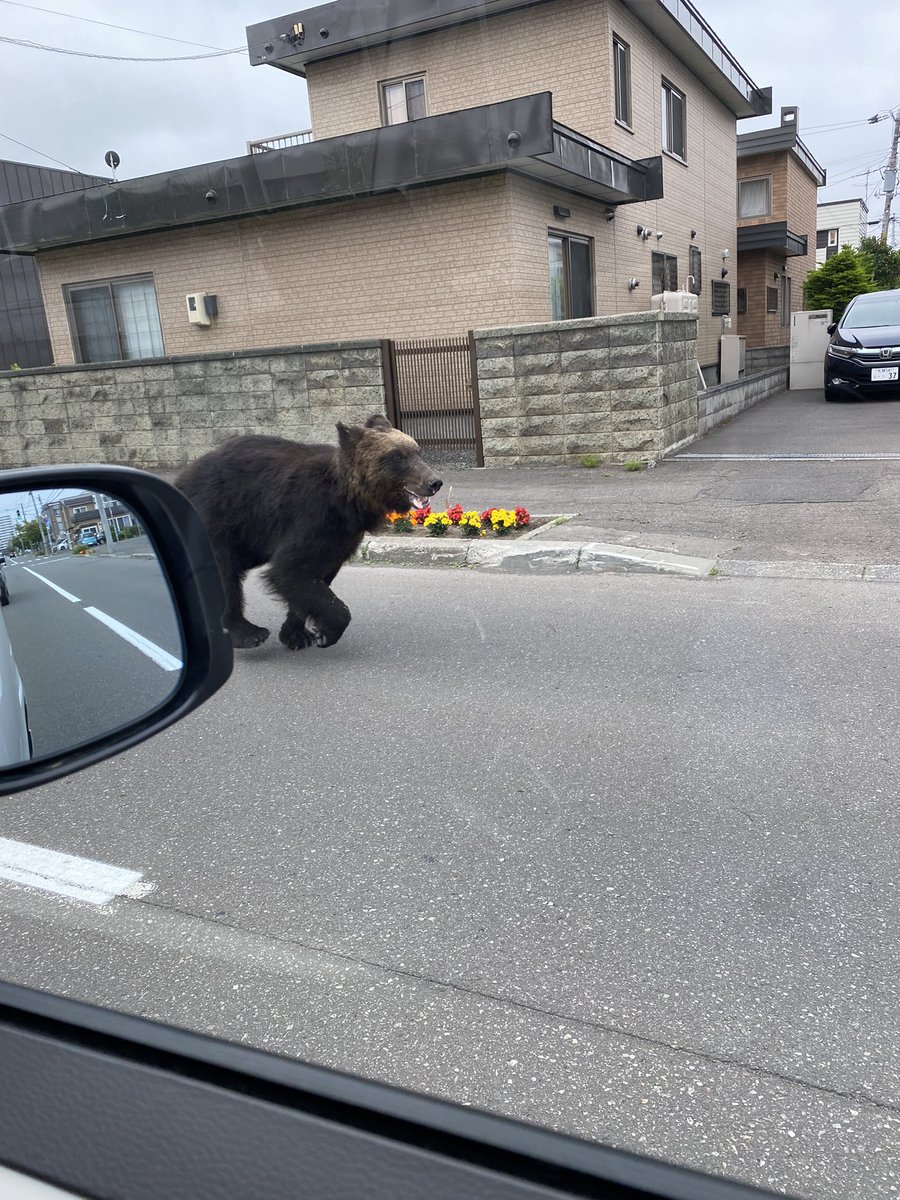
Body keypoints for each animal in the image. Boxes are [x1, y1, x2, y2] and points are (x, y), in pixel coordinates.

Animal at [176, 415, 442, 651]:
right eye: (398, 456)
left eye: (417, 451)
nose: (434, 482)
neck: (348, 501)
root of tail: (182, 478)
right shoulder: (310, 516)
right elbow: (289, 569)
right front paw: (327, 631)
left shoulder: (341, 537)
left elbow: (311, 577)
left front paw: (299, 634)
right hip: (217, 517)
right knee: (223, 574)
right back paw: (247, 633)